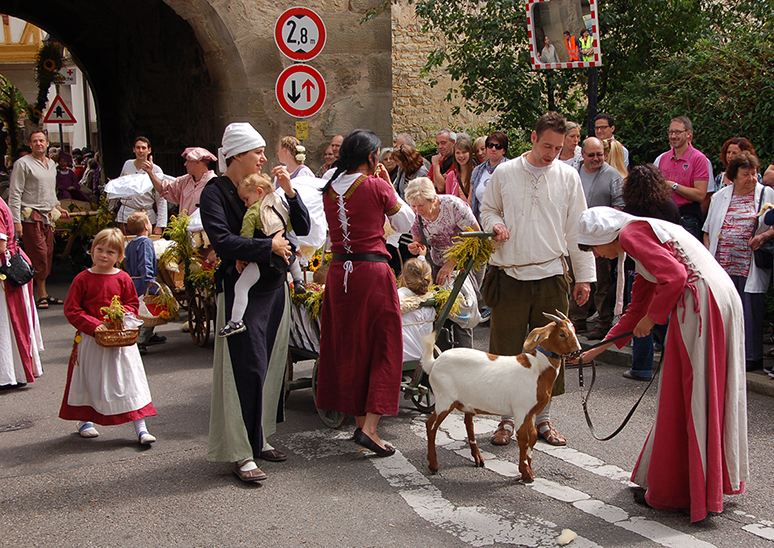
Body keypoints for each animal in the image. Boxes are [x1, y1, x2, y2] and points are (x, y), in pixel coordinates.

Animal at [424, 310, 584, 482]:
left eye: (574, 330)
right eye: (562, 334)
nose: (578, 352)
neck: (537, 369)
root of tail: (433, 363)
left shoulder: (530, 412)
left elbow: (533, 437)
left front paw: (528, 468)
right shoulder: (521, 410)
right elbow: (523, 439)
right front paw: (526, 474)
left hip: (466, 402)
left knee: (468, 425)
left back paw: (478, 458)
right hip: (444, 400)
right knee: (430, 425)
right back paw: (433, 465)